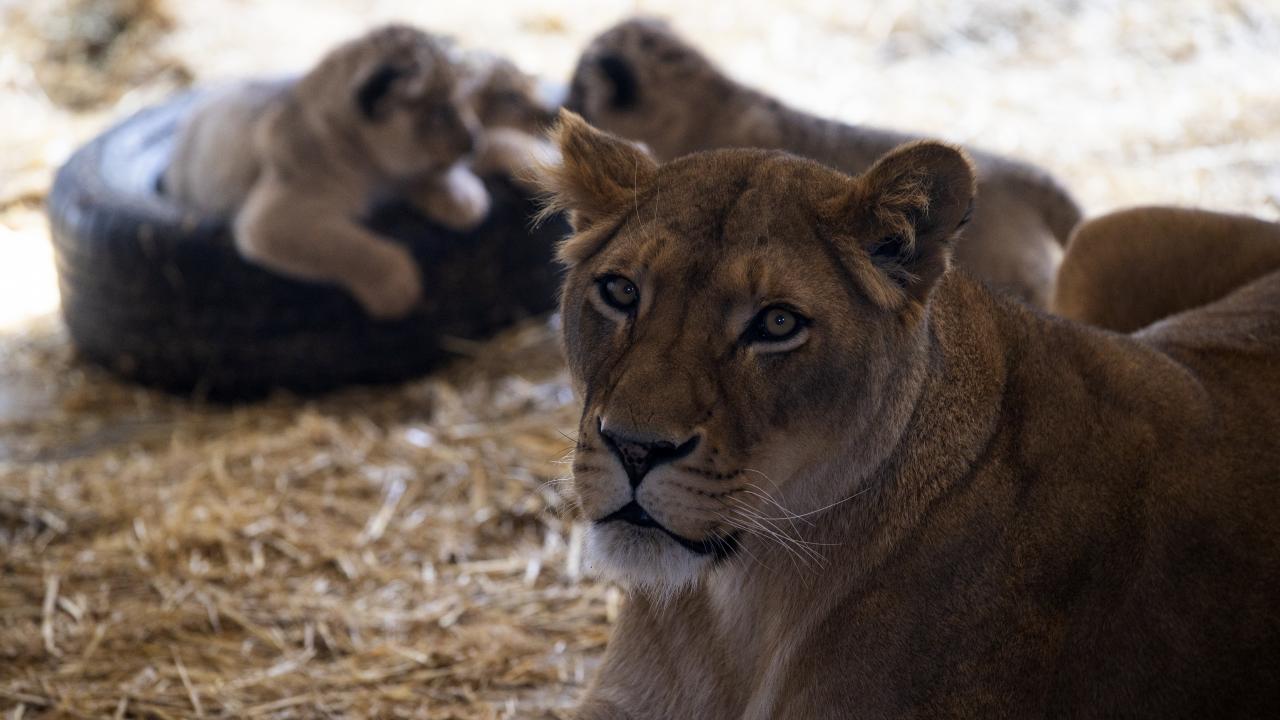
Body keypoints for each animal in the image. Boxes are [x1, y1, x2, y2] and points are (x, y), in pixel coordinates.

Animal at [164, 25, 555, 319]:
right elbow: (345, 245)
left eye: (462, 102)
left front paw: (465, 197)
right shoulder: (273, 218)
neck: (374, 167)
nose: (471, 139)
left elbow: (489, 145)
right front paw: (397, 288)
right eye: (441, 111)